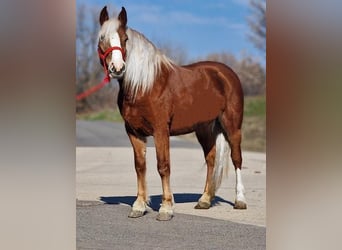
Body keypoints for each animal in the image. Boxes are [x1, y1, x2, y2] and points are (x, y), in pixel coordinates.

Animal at [97, 5, 247, 221]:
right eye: (102, 38)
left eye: (125, 39)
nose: (117, 68)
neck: (144, 85)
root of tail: (225, 73)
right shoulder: (134, 132)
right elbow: (140, 166)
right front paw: (139, 206)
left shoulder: (161, 130)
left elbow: (163, 166)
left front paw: (166, 208)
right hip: (204, 129)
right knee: (211, 159)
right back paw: (204, 200)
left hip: (232, 126)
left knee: (237, 159)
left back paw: (240, 200)